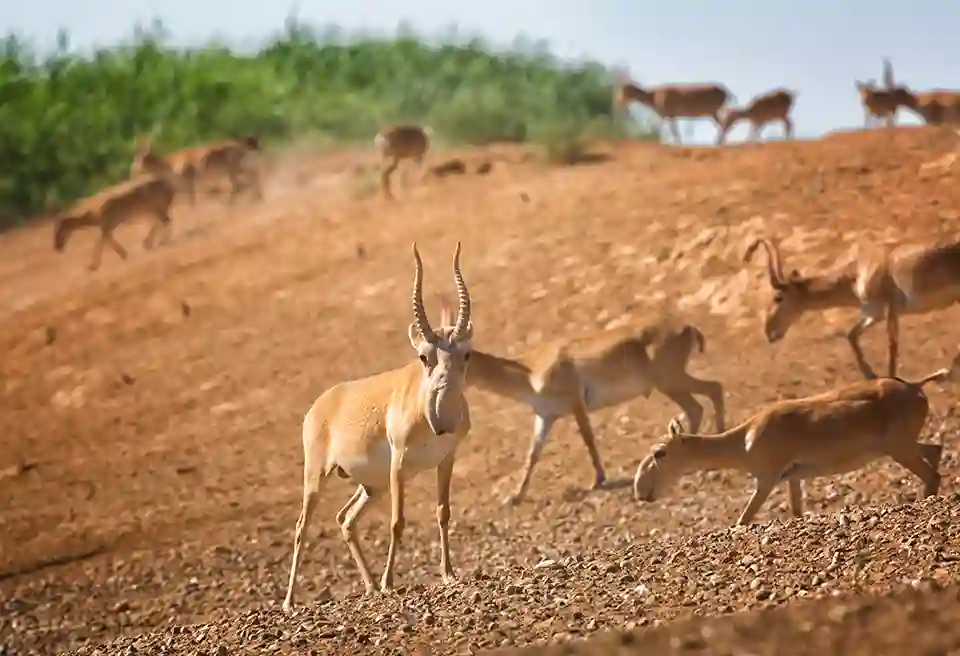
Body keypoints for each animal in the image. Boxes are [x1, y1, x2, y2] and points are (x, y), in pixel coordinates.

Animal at [130, 131, 262, 205]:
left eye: (137, 160)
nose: (132, 174)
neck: (170, 166)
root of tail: (239, 143)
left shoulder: (191, 185)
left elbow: (193, 205)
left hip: (234, 168)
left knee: (247, 178)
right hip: (234, 170)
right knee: (249, 176)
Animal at [282, 243, 476, 612]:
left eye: (466, 355)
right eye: (424, 357)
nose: (442, 418)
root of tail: (322, 403)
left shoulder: (447, 460)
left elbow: (443, 512)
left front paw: (449, 574)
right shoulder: (399, 465)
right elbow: (397, 522)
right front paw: (389, 583)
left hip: (372, 486)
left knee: (345, 519)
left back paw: (369, 586)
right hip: (318, 477)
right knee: (301, 526)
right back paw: (289, 602)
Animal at [466, 320, 728, 504]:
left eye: (463, 355)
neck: (530, 369)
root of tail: (686, 327)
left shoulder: (576, 404)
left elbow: (588, 439)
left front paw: (598, 481)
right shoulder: (545, 416)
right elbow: (532, 454)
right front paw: (514, 497)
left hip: (671, 382)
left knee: (712, 390)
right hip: (672, 385)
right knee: (698, 406)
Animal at [632, 354, 956, 528]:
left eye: (659, 453)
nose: (640, 491)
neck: (744, 440)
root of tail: (914, 387)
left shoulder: (767, 478)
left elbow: (743, 520)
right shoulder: (793, 477)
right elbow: (797, 511)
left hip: (899, 448)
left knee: (931, 472)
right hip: (901, 446)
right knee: (935, 452)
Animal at [748, 236, 960, 380]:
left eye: (778, 297)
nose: (769, 332)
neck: (855, 272)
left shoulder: (888, 310)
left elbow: (892, 346)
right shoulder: (874, 315)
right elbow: (852, 335)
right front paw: (871, 375)